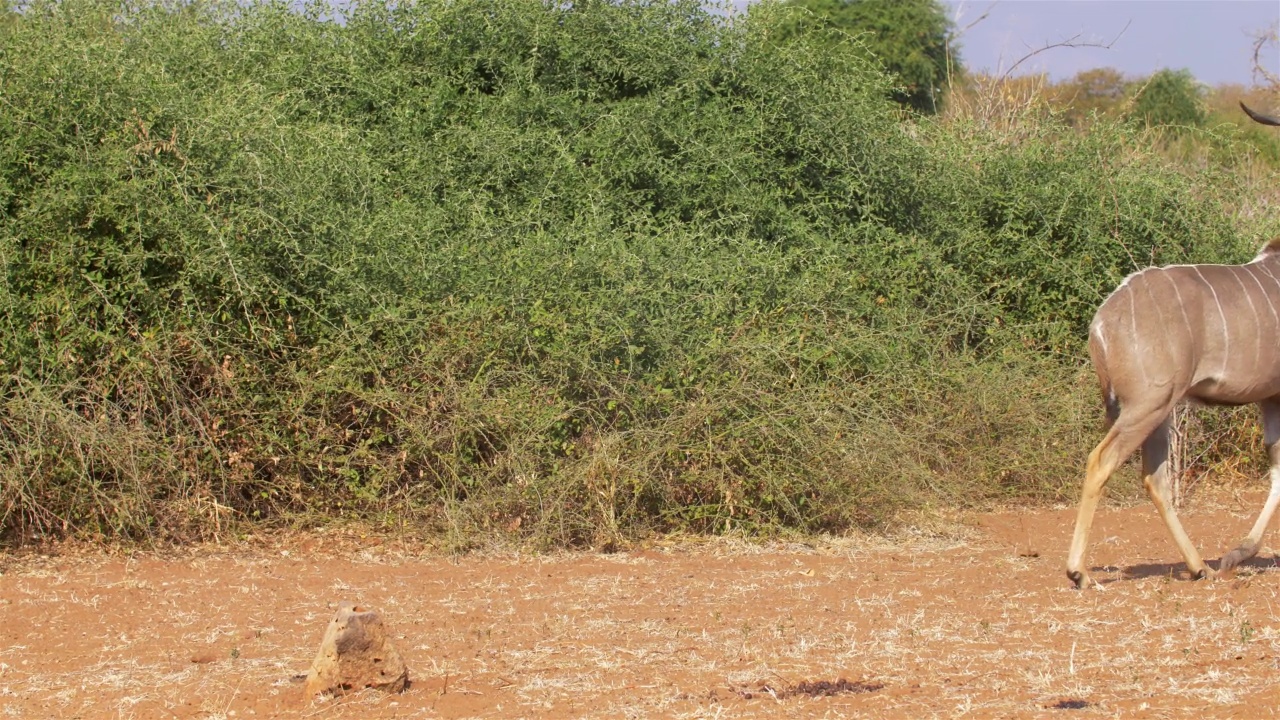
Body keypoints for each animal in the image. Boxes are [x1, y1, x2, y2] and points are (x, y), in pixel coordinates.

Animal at [1064, 101, 1280, 586]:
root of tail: (1102, 322)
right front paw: (1239, 553)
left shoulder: (1272, 397)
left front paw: (1237, 554)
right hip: (1149, 404)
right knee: (1101, 461)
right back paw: (1078, 572)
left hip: (1155, 409)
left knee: (1153, 477)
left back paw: (1200, 566)